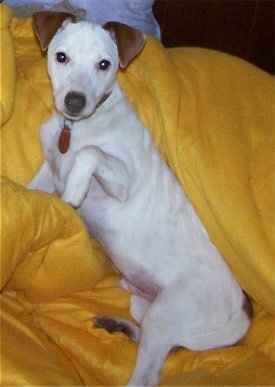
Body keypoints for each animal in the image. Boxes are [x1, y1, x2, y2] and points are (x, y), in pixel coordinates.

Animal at [28, 10, 252, 386]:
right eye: (61, 57)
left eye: (104, 64)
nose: (75, 100)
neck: (75, 128)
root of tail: (243, 311)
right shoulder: (49, 168)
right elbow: (32, 189)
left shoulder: (123, 180)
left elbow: (89, 153)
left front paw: (73, 193)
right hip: (146, 307)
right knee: (154, 341)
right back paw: (118, 325)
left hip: (166, 316)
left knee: (148, 375)